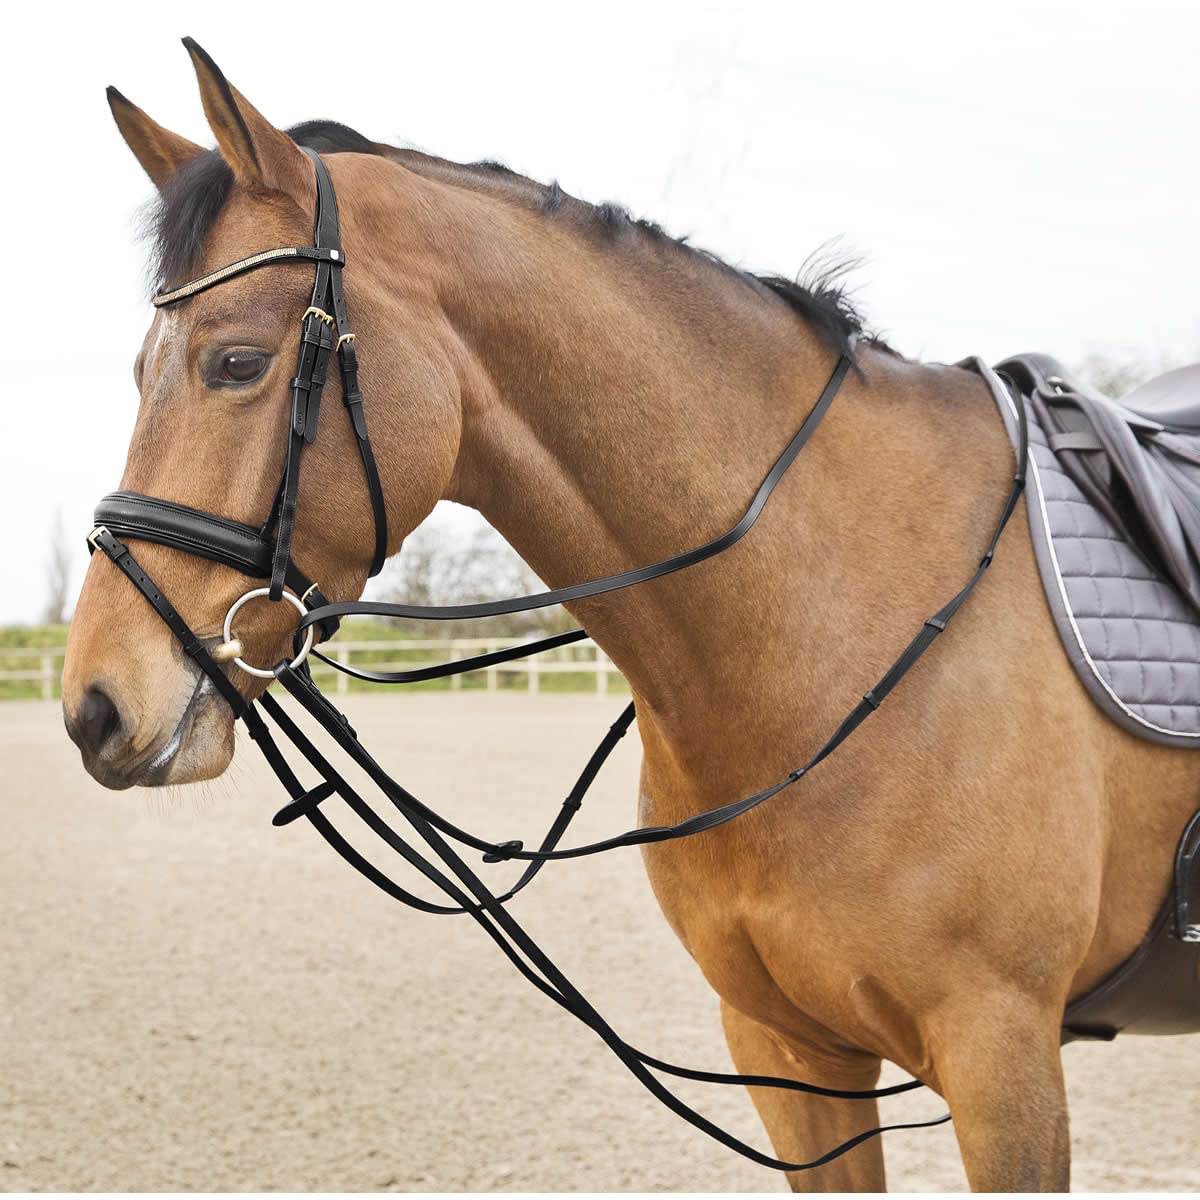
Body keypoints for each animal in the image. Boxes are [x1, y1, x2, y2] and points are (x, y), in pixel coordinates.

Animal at [62, 41, 1199, 1191]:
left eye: (236, 362)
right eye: (140, 371)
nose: (94, 707)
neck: (836, 630)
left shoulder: (1001, 1057)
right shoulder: (792, 1054)